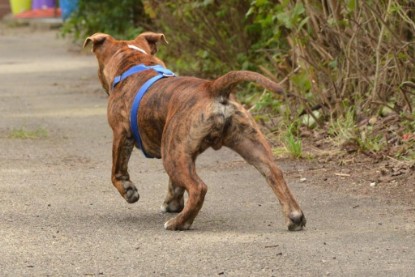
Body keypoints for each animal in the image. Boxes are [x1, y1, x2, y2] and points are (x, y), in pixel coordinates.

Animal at [84, 31, 308, 231]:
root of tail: (213, 88)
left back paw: (180, 223)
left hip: (172, 155)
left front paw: (128, 190)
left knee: (199, 187)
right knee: (274, 173)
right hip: (249, 143)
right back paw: (295, 217)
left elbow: (117, 170)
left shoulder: (121, 135)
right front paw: (173, 203)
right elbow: (175, 184)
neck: (133, 63)